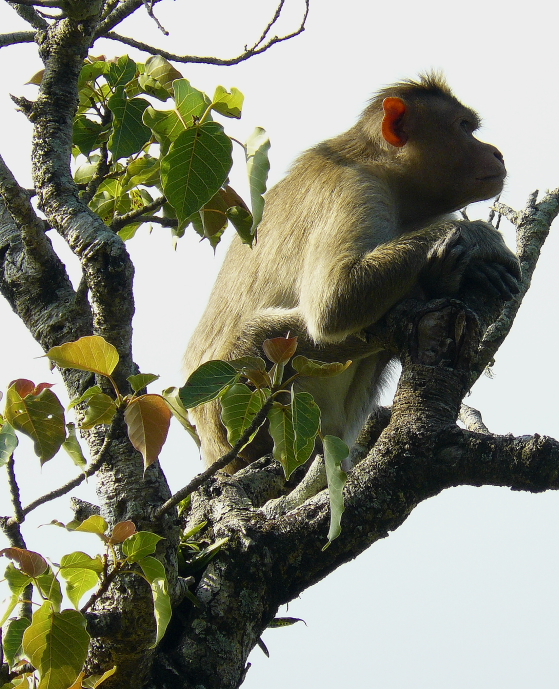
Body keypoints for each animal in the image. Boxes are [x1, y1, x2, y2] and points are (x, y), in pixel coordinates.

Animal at [186, 74, 524, 472]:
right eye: (464, 127)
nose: (496, 153)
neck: (391, 176)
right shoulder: (355, 189)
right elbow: (335, 301)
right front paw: (482, 239)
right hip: (238, 400)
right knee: (262, 339)